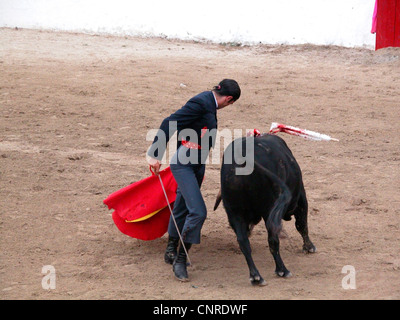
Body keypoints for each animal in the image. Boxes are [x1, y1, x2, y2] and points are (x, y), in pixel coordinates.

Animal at [214, 134, 318, 286]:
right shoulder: (301, 199)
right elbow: (301, 224)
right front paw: (309, 247)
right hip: (268, 209)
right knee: (273, 238)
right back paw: (282, 270)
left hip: (234, 212)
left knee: (243, 242)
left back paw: (256, 276)